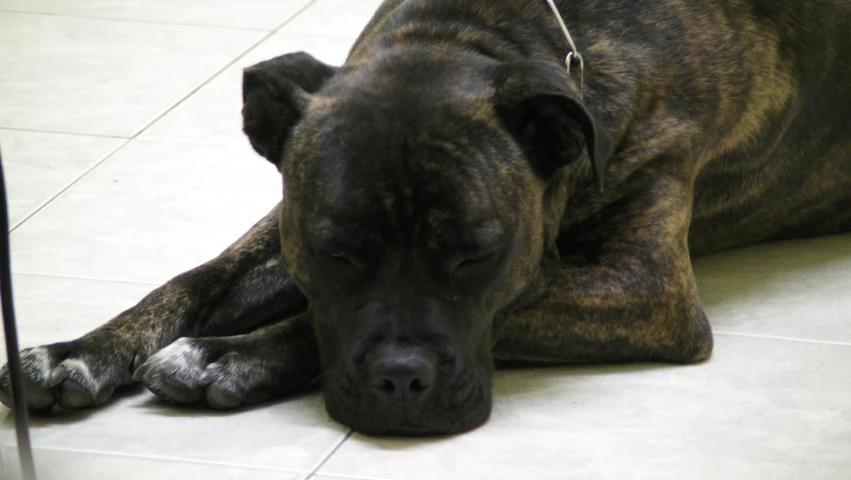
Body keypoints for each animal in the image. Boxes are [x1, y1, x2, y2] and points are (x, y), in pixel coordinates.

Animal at [1, 0, 851, 436]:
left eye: (476, 257)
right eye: (336, 254)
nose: (399, 382)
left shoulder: (644, 287)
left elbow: (516, 303)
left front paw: (226, 356)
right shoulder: (292, 216)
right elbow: (196, 279)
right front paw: (78, 350)